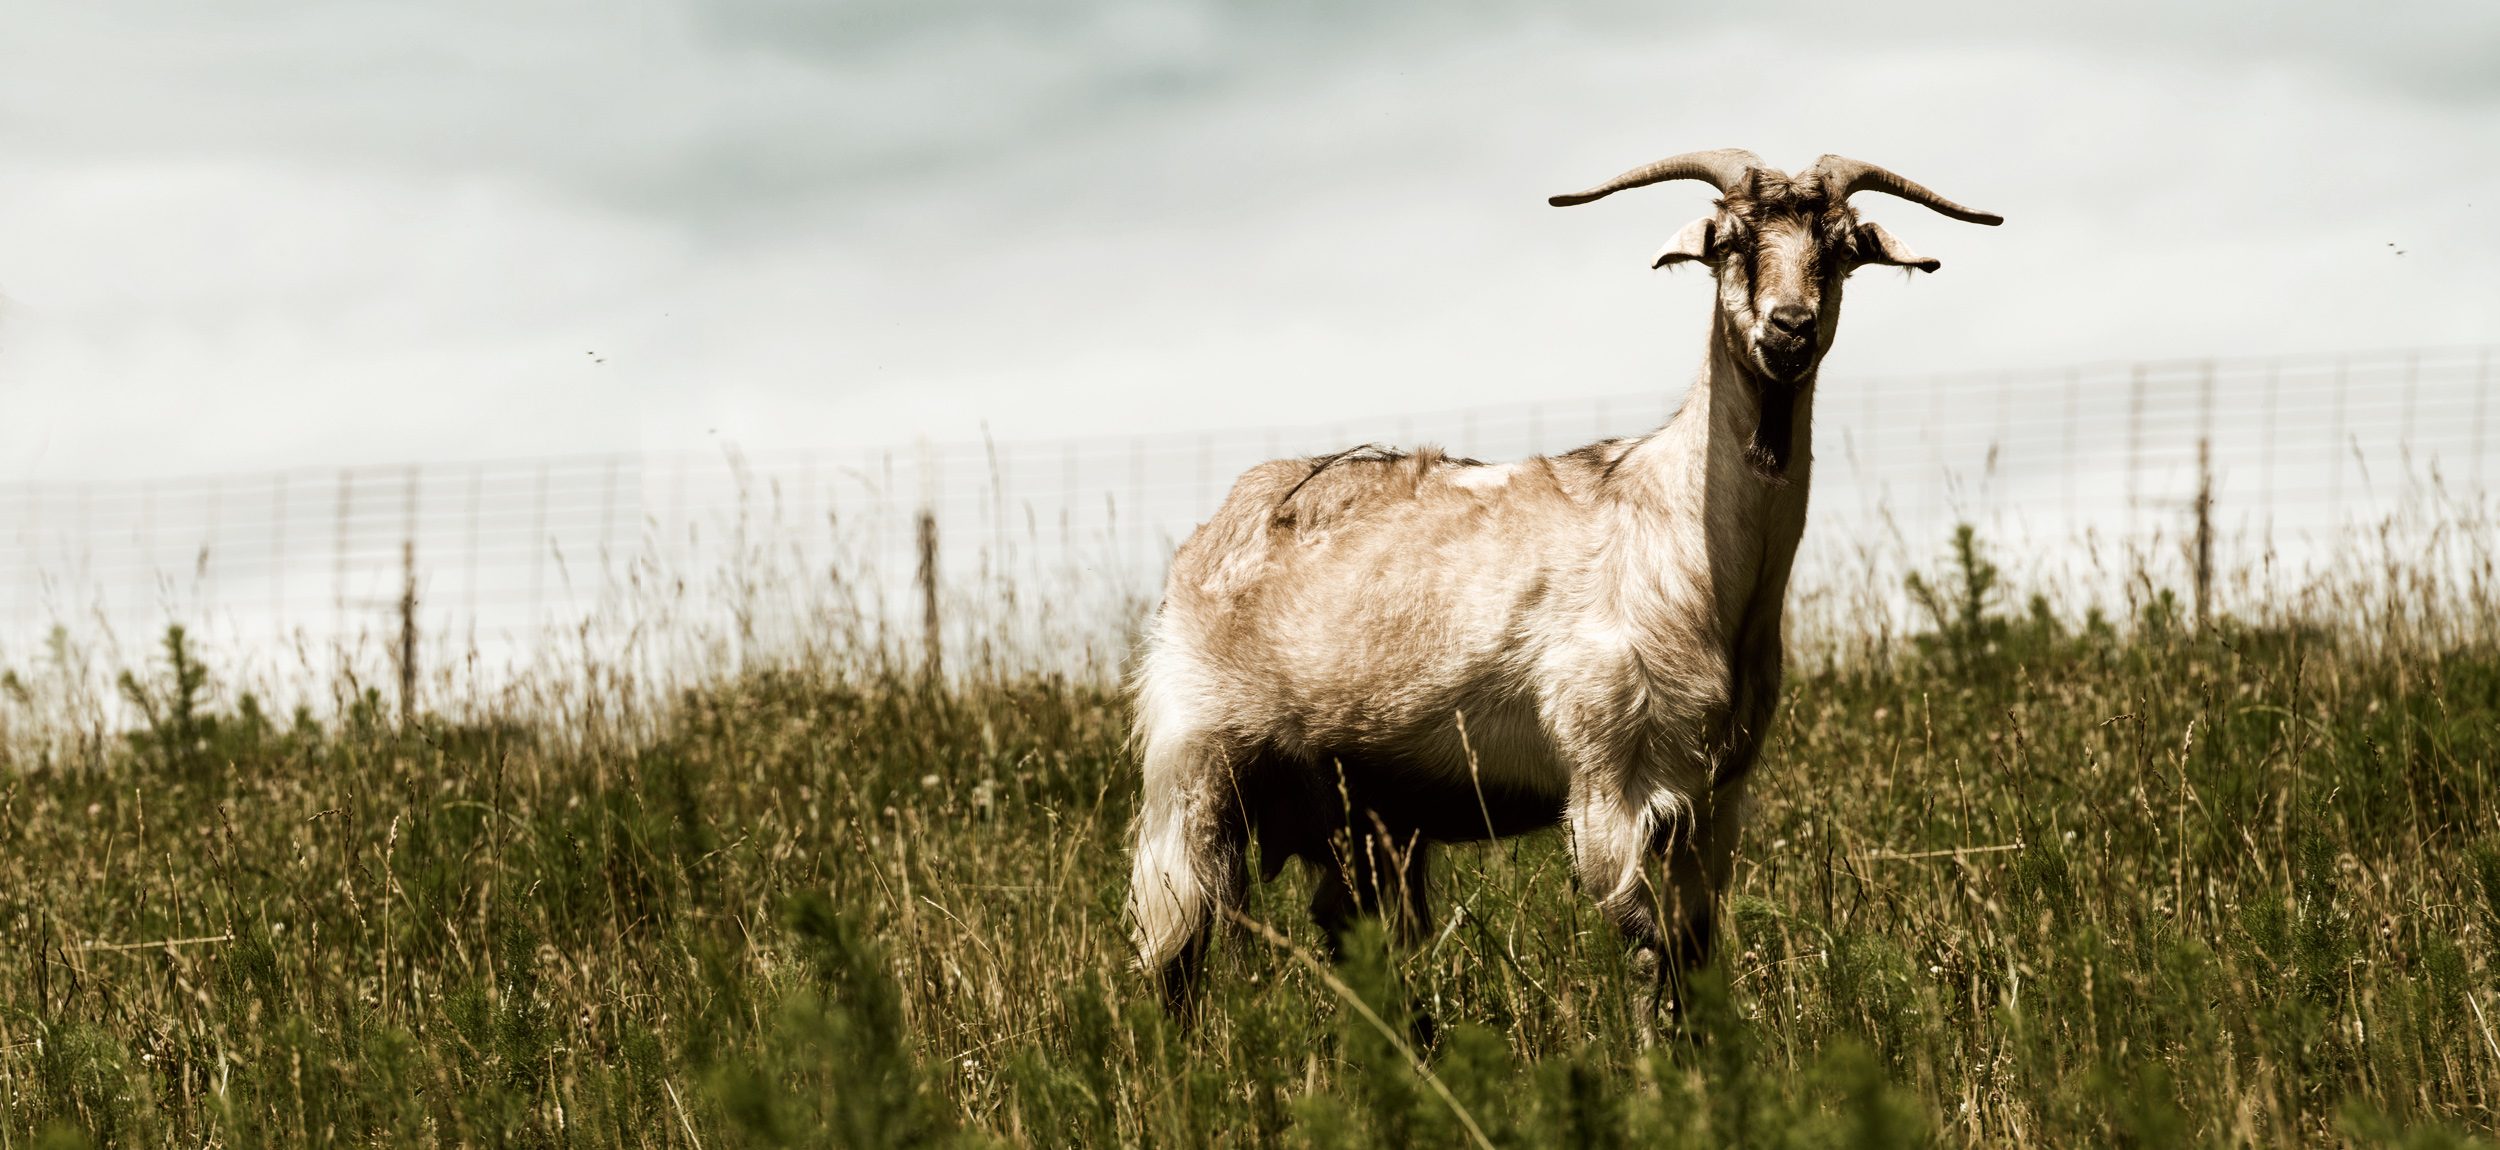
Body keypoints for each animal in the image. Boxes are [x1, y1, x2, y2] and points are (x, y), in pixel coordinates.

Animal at [1126, 149, 2000, 1014]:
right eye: (1728, 241)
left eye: (1842, 247)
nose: (1790, 328)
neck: (1684, 547)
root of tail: (1214, 532)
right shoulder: (1608, 781)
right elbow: (1648, 954)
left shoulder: (1716, 801)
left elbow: (1693, 958)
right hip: (1194, 769)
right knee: (1173, 950)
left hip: (1365, 818)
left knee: (1360, 953)